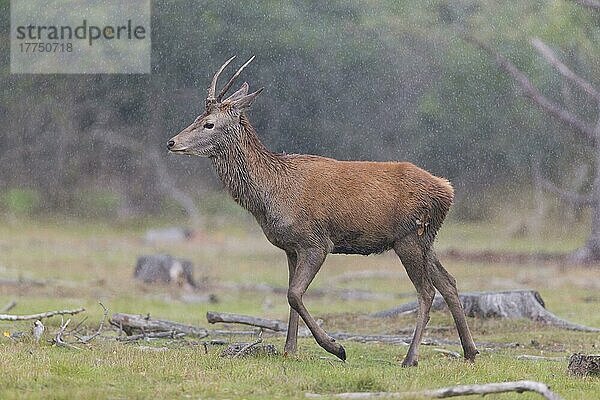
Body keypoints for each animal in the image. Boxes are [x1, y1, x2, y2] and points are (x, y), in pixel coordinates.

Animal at [168, 56, 478, 366]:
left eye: (209, 124)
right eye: (196, 119)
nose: (172, 142)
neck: (269, 196)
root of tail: (447, 190)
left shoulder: (316, 242)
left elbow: (294, 294)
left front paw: (335, 347)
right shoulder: (290, 248)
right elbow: (289, 294)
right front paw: (289, 349)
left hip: (409, 237)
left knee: (427, 291)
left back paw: (410, 358)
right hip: (425, 239)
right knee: (449, 283)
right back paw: (470, 351)